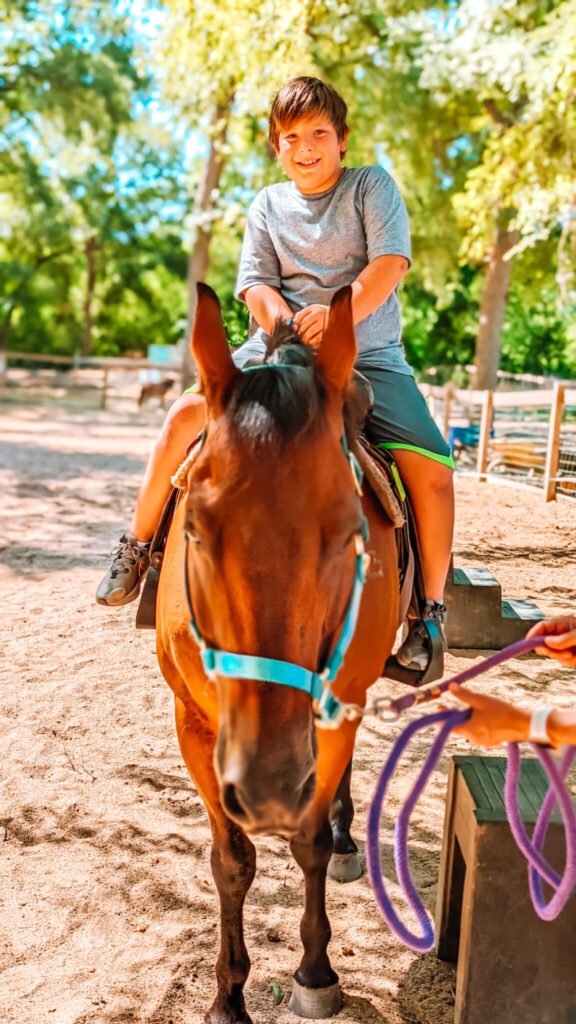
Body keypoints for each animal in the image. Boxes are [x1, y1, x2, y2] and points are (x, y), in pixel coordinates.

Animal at [156, 284, 399, 1019]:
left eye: (353, 532)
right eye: (194, 530)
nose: (267, 785)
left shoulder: (334, 713)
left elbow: (309, 842)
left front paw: (315, 973)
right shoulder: (193, 725)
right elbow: (231, 860)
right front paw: (227, 995)